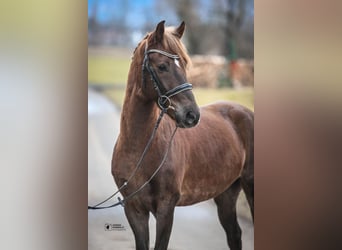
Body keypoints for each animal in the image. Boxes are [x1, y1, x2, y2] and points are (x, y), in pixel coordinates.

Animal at [112, 21, 254, 250]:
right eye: (162, 66)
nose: (191, 115)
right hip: (226, 194)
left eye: (185, 65)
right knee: (234, 234)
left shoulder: (166, 208)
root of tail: (246, 112)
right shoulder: (134, 209)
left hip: (250, 187)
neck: (138, 147)